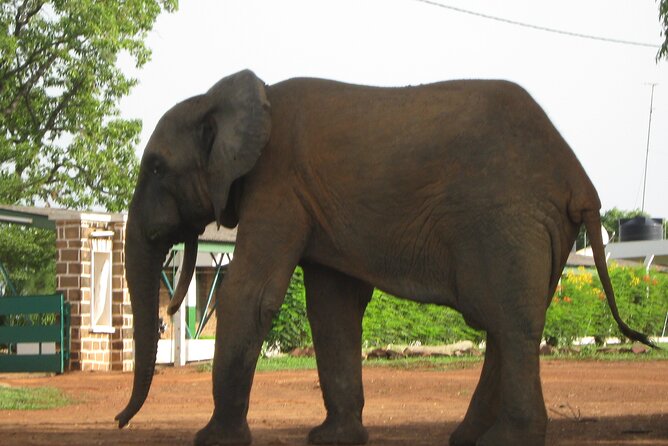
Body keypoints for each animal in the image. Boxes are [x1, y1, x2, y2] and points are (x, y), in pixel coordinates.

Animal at [115, 70, 652, 446]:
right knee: (510, 322)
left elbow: (252, 294)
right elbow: (331, 309)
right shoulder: (309, 198)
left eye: (156, 167)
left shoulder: (278, 184)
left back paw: (504, 441)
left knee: (511, 322)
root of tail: (578, 177)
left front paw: (211, 440)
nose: (120, 422)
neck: (227, 98)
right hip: (538, 227)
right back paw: (468, 438)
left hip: (505, 221)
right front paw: (332, 440)